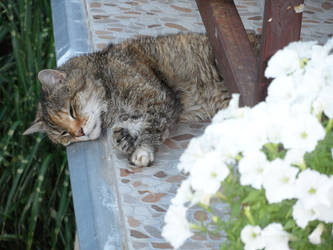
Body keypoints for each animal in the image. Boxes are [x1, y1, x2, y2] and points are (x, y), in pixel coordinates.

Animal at [24, 32, 231, 167]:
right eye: (63, 134)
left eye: (71, 110)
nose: (79, 132)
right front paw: (125, 137)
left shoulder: (161, 98)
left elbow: (153, 125)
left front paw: (142, 150)